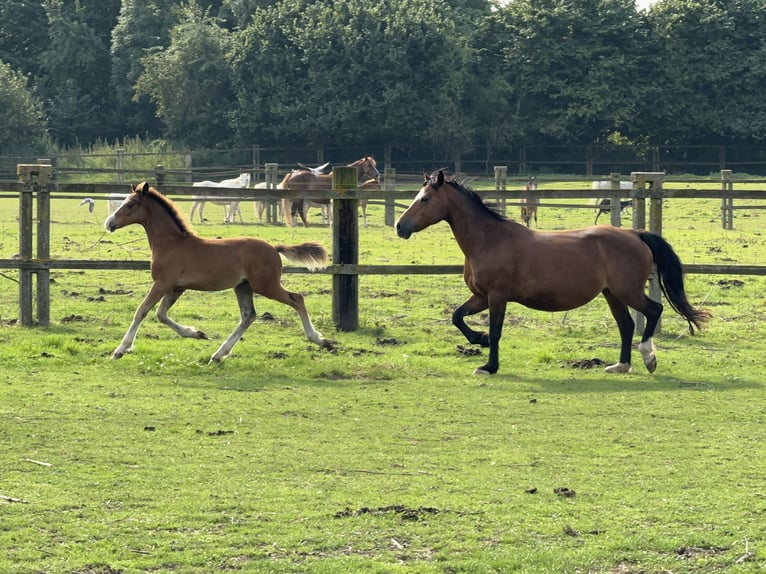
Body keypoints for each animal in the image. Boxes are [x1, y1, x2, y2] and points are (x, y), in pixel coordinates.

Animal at [102, 182, 330, 364]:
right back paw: (218, 354)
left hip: (266, 285)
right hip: (243, 286)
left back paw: (319, 339)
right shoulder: (176, 287)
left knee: (297, 299)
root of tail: (274, 248)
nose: (109, 223)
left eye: (130, 204)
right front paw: (196, 333)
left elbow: (142, 311)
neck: (171, 243)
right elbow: (161, 314)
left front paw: (119, 350)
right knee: (248, 316)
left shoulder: (162, 283)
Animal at [396, 170, 712, 378]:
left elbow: (497, 331)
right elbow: (457, 316)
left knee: (654, 310)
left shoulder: (497, 296)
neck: (488, 240)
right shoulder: (480, 296)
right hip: (611, 294)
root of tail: (635, 234)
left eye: (424, 199)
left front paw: (489, 365)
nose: (400, 226)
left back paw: (648, 357)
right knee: (626, 325)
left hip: (628, 291)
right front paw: (479, 340)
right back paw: (620, 365)